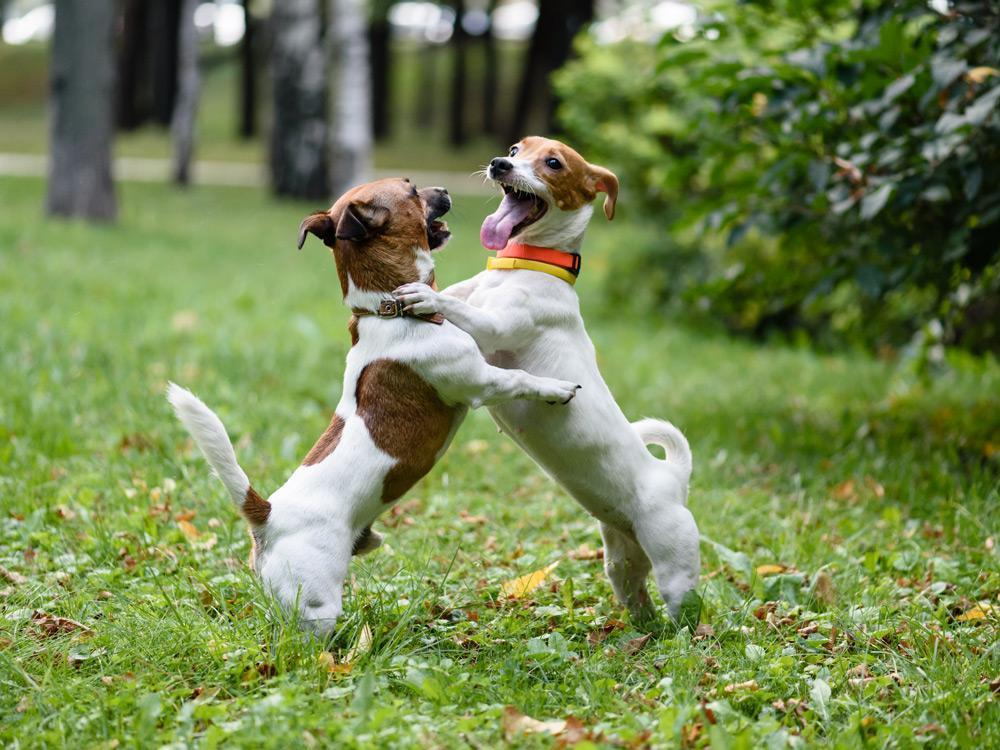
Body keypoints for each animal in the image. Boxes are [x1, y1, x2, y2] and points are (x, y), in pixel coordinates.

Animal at [168, 177, 580, 635]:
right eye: (412, 190)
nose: (443, 187)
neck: (388, 311)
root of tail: (268, 517)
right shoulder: (481, 381)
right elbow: (520, 379)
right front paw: (556, 387)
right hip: (316, 605)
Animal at [393, 138, 700, 626]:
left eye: (553, 163)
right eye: (516, 148)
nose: (500, 164)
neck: (522, 266)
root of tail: (672, 475)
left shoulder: (494, 329)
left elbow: (458, 309)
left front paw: (424, 295)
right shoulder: (473, 296)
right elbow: (458, 296)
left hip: (675, 565)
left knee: (685, 611)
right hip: (621, 561)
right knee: (637, 598)